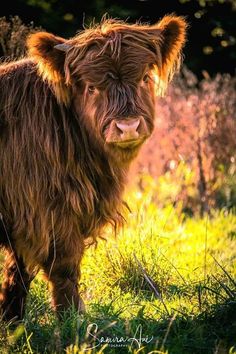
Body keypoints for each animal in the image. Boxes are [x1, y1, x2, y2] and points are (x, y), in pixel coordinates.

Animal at [0, 15, 187, 320]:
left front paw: (12, 319)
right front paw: (72, 318)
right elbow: (63, 267)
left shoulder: (26, 219)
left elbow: (19, 271)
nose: (127, 126)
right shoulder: (46, 211)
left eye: (145, 78)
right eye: (91, 87)